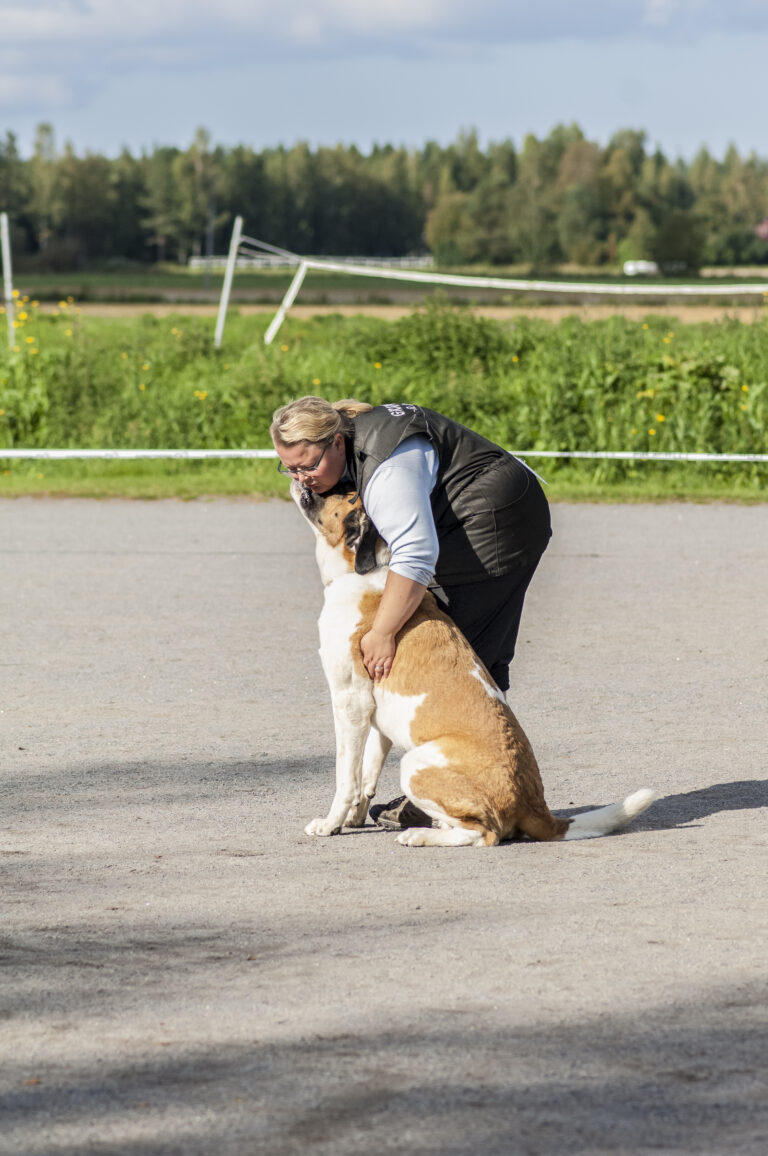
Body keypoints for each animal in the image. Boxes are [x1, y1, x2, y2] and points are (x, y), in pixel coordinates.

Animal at [292, 480, 652, 850]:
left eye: (348, 495)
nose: (303, 481)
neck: (360, 571)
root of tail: (534, 806)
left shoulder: (350, 703)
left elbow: (345, 776)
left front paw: (330, 824)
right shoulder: (376, 715)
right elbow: (367, 772)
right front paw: (353, 817)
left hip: (414, 764)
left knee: (484, 834)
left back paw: (419, 834)